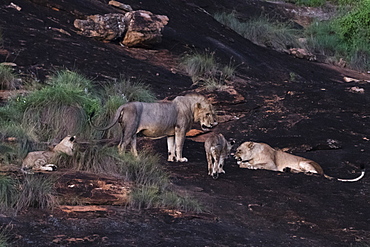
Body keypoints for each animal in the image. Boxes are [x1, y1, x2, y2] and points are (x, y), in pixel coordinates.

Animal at [234, 141, 364, 181]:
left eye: (239, 150)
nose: (233, 155)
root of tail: (322, 169)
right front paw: (243, 164)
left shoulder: (271, 164)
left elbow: (258, 164)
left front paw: (248, 165)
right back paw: (288, 169)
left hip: (304, 162)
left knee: (317, 174)